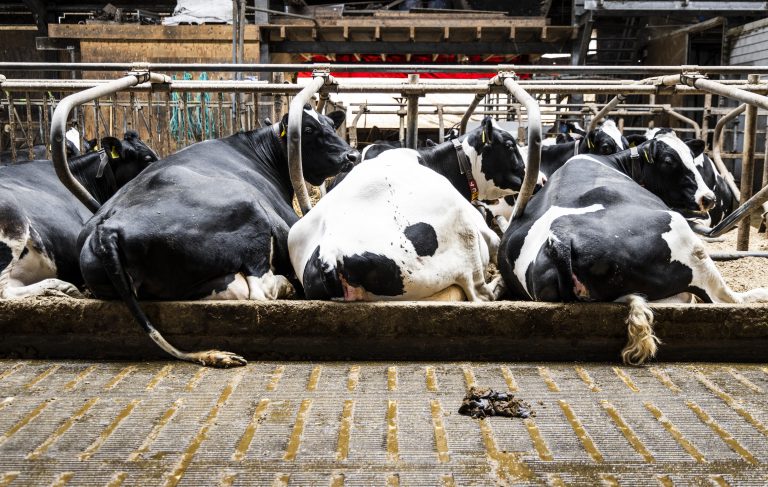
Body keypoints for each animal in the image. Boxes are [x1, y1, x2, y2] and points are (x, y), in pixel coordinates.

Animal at [75, 106, 356, 366]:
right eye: (308, 129)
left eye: (332, 124)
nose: (351, 155)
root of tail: (107, 229)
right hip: (249, 208)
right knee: (261, 288)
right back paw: (286, 286)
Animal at [288, 118, 528, 302]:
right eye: (509, 145)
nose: (534, 177)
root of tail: (329, 254)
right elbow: (496, 242)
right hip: (464, 235)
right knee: (482, 293)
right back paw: (499, 283)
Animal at [498, 130, 768, 366]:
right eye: (669, 161)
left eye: (692, 158)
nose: (708, 198)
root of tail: (560, 242)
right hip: (686, 240)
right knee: (726, 297)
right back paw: (759, 293)